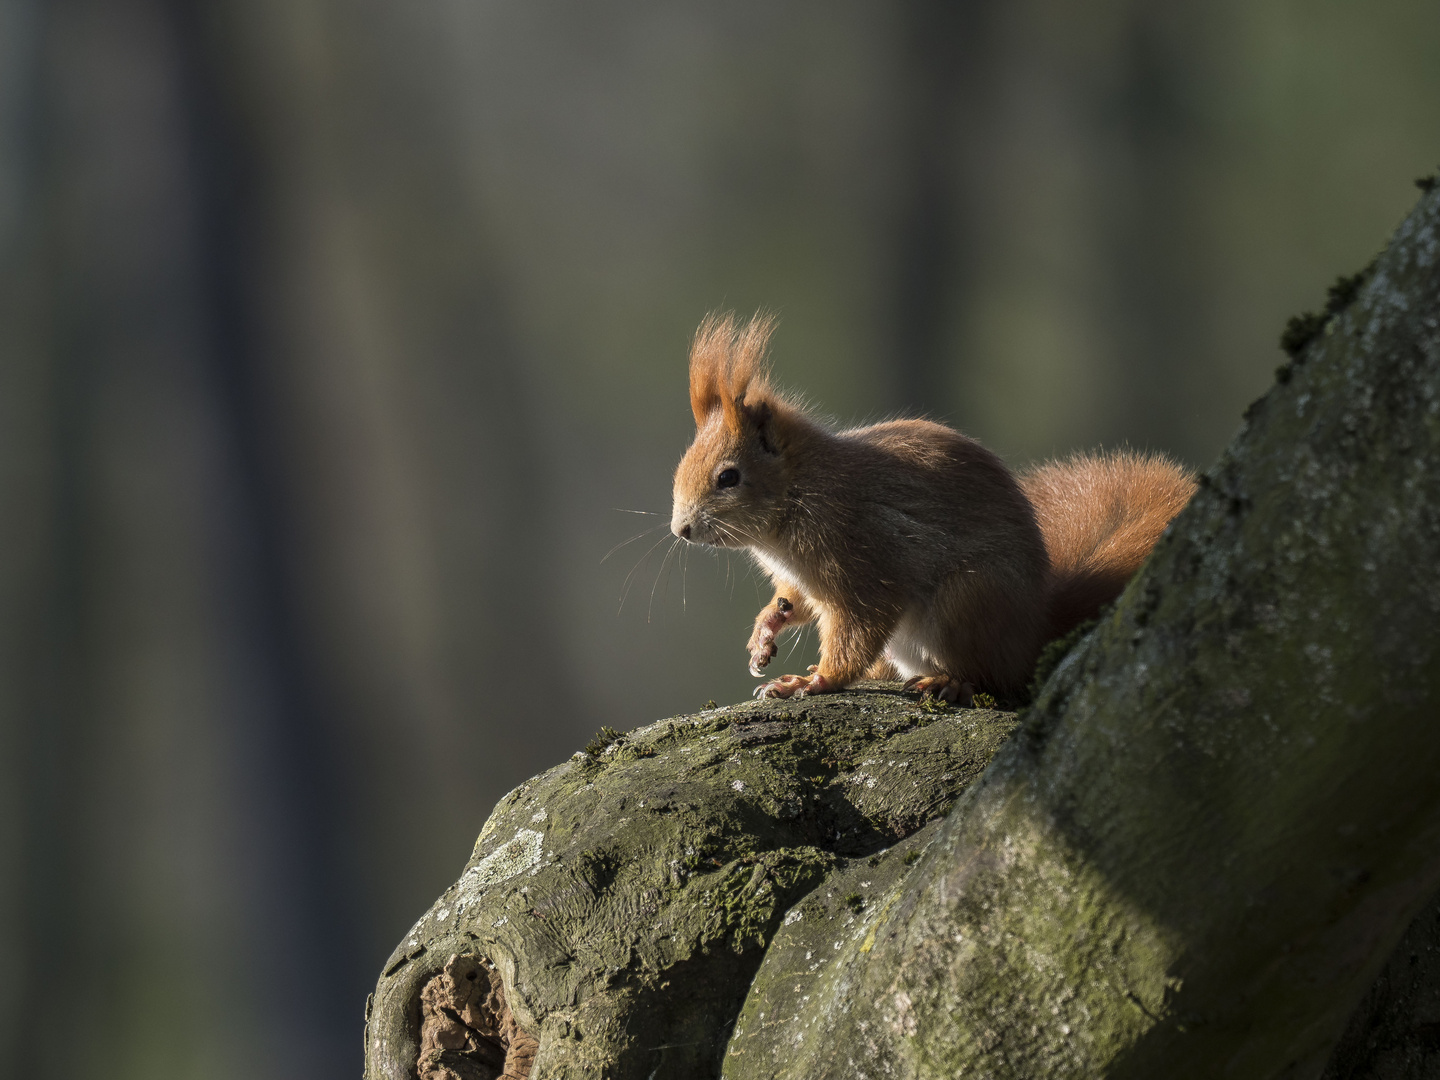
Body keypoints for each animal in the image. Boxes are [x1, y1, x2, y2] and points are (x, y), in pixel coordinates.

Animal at [668, 312, 1198, 705]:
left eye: (729, 477)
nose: (681, 529)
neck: (798, 498)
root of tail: (1033, 633)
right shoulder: (803, 578)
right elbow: (792, 600)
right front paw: (765, 632)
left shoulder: (864, 556)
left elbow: (858, 628)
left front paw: (815, 681)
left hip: (970, 600)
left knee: (994, 677)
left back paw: (951, 681)